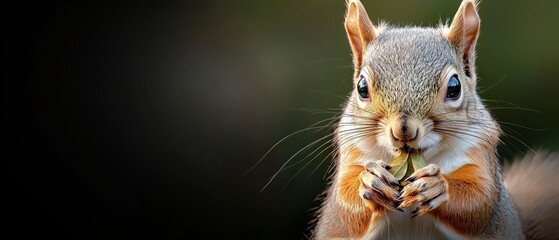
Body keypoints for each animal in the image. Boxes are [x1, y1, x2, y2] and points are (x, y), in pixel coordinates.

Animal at [312, 0, 556, 240]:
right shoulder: (352, 150)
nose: (403, 130)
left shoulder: (479, 149)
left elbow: (479, 200)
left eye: (455, 87)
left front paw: (436, 186)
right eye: (362, 87)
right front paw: (370, 182)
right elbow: (344, 205)